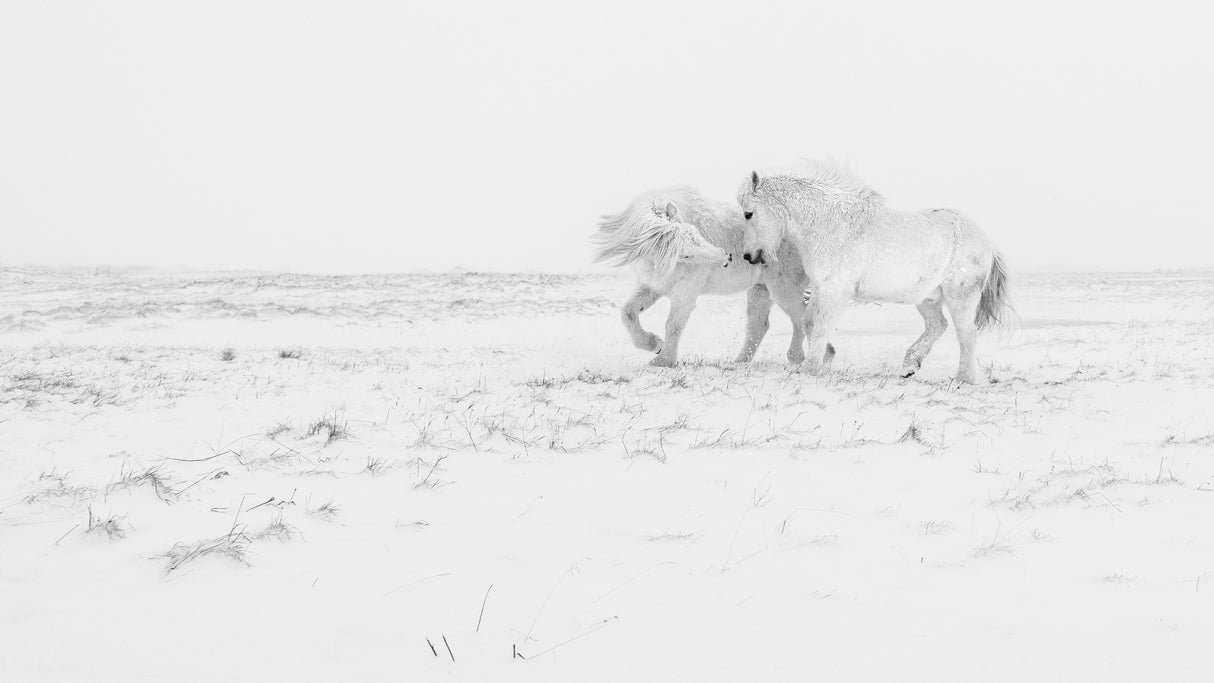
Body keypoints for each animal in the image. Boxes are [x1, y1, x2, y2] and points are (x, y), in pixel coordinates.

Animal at [593, 186, 814, 367]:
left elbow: (674, 324)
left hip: (783, 284)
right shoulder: (652, 285)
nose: (726, 257)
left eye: (697, 232)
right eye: (685, 254)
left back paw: (799, 358)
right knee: (758, 325)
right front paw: (654, 344)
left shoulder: (686, 287)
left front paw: (663, 360)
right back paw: (738, 362)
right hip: (760, 287)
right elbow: (628, 313)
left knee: (801, 316)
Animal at [735, 161, 1010, 384]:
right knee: (938, 326)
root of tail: (985, 240)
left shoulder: (834, 288)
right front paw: (819, 363)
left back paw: (964, 378)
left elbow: (819, 324)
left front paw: (809, 368)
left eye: (749, 213)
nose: (749, 256)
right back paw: (909, 366)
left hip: (960, 297)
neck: (830, 225)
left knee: (966, 335)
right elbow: (809, 322)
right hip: (927, 298)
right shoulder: (822, 287)